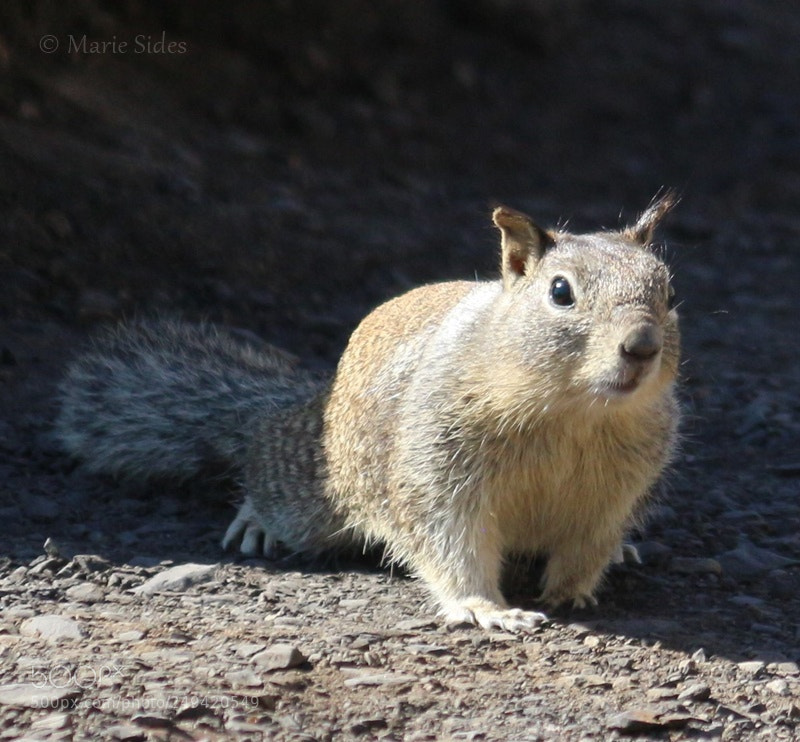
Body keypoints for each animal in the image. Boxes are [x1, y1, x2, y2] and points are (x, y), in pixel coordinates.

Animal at [56, 196, 681, 631]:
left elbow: (590, 541)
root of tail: (319, 397)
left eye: (669, 292)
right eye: (560, 292)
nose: (642, 346)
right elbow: (449, 541)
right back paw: (256, 519)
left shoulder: (617, 491)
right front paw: (484, 607)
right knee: (270, 467)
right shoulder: (435, 469)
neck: (576, 412)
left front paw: (574, 587)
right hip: (314, 485)